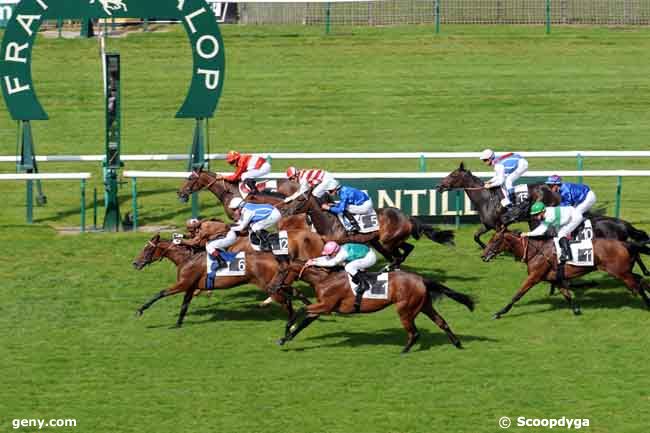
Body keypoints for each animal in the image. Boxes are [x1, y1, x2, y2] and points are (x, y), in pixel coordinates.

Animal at [132, 235, 308, 336]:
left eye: (147, 249)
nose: (135, 263)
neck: (187, 258)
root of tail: (277, 259)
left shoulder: (183, 284)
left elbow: (160, 293)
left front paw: (140, 310)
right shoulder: (190, 287)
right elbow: (184, 306)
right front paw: (177, 324)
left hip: (270, 287)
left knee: (286, 301)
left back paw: (292, 323)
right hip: (279, 284)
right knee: (296, 293)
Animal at [276, 262, 474, 352]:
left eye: (281, 271)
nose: (274, 286)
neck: (324, 279)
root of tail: (421, 278)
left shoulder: (325, 305)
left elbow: (301, 310)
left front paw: (287, 328)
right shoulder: (322, 307)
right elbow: (304, 322)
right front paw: (285, 338)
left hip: (405, 309)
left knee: (415, 332)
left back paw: (404, 350)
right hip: (424, 305)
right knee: (442, 322)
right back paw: (457, 343)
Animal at [280, 192, 454, 268]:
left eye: (300, 199)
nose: (286, 211)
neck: (329, 221)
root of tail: (407, 217)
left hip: (388, 242)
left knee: (397, 256)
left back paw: (390, 267)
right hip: (385, 241)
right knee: (408, 248)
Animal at [476, 230, 648, 318]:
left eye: (495, 240)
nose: (483, 256)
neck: (535, 251)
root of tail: (624, 243)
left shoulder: (534, 277)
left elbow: (518, 294)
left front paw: (499, 312)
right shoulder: (555, 278)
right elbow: (567, 294)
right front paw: (576, 310)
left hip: (621, 274)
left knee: (639, 285)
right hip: (625, 272)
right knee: (642, 280)